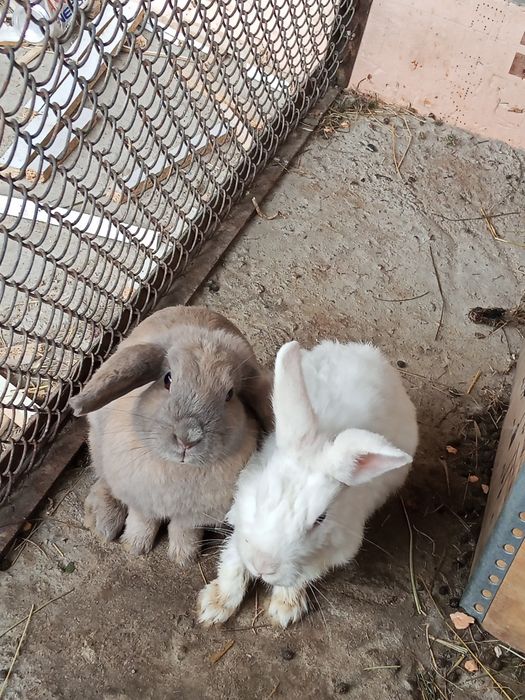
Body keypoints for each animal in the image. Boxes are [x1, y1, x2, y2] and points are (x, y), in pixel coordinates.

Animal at [69, 305, 273, 564]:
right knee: (104, 480)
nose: (188, 438)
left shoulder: (195, 514)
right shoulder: (141, 501)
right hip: (97, 442)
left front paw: (184, 557)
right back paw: (103, 522)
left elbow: (184, 529)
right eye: (168, 379)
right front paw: (135, 545)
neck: (178, 468)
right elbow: (143, 521)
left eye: (229, 395)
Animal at [197, 339, 418, 627]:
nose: (263, 565)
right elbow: (232, 562)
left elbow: (303, 575)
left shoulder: (334, 549)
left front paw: (284, 609)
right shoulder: (241, 525)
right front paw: (214, 605)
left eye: (320, 520)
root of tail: (371, 354)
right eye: (262, 495)